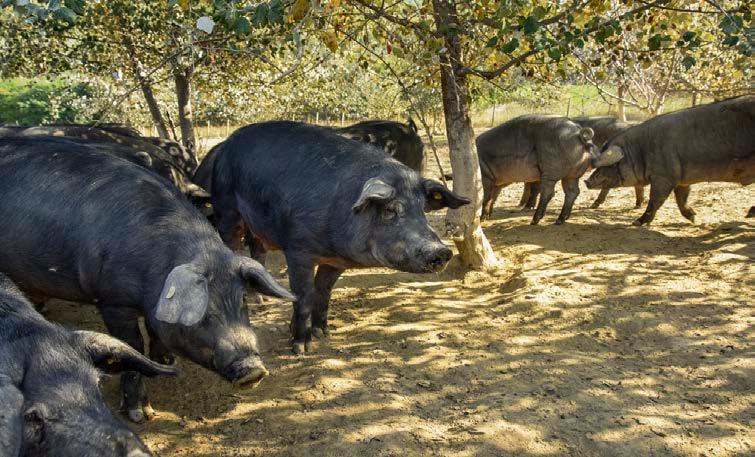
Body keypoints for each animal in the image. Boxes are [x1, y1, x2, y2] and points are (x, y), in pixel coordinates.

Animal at [0, 136, 294, 423]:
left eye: (242, 300)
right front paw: (141, 415)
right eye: (197, 311)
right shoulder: (113, 302)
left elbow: (155, 330)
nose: (253, 370)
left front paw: (166, 359)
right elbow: (132, 347)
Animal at [210, 121, 469, 354]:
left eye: (423, 208)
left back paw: (259, 300)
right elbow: (303, 295)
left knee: (258, 250)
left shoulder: (336, 261)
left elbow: (323, 292)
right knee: (232, 245)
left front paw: (323, 333)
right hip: (226, 209)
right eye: (389, 210)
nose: (441, 250)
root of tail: (227, 144)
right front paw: (301, 348)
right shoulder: (298, 250)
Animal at [585, 96, 755, 226]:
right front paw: (694, 218)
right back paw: (748, 214)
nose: (587, 181)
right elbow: (681, 198)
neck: (639, 152)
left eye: (610, 164)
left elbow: (656, 200)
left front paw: (636, 222)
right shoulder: (682, 178)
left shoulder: (663, 175)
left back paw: (748, 214)